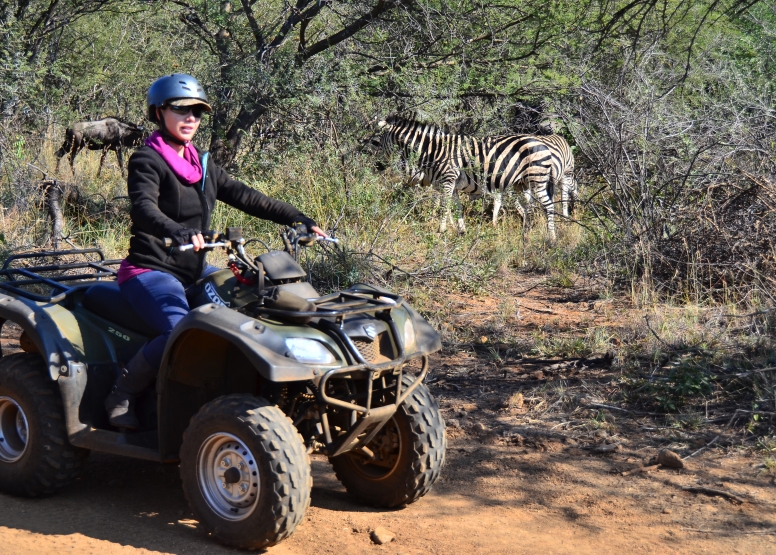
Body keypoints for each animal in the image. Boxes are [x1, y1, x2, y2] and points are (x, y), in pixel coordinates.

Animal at [378, 115, 556, 239]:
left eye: (377, 142)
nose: (378, 167)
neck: (434, 151)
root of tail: (543, 143)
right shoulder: (453, 185)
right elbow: (456, 208)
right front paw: (461, 231)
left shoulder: (448, 179)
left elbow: (444, 206)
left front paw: (440, 230)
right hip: (523, 184)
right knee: (530, 208)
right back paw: (526, 234)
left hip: (537, 179)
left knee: (548, 206)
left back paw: (551, 238)